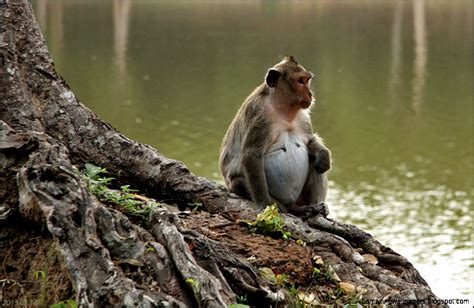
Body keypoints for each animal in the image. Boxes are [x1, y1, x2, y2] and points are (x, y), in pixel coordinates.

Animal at [218, 56, 330, 219]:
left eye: (307, 80)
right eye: (300, 81)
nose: (310, 94)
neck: (283, 110)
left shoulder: (304, 117)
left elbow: (309, 142)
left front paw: (324, 154)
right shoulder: (259, 115)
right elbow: (251, 155)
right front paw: (265, 204)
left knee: (315, 162)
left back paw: (316, 208)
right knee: (239, 182)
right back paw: (294, 210)